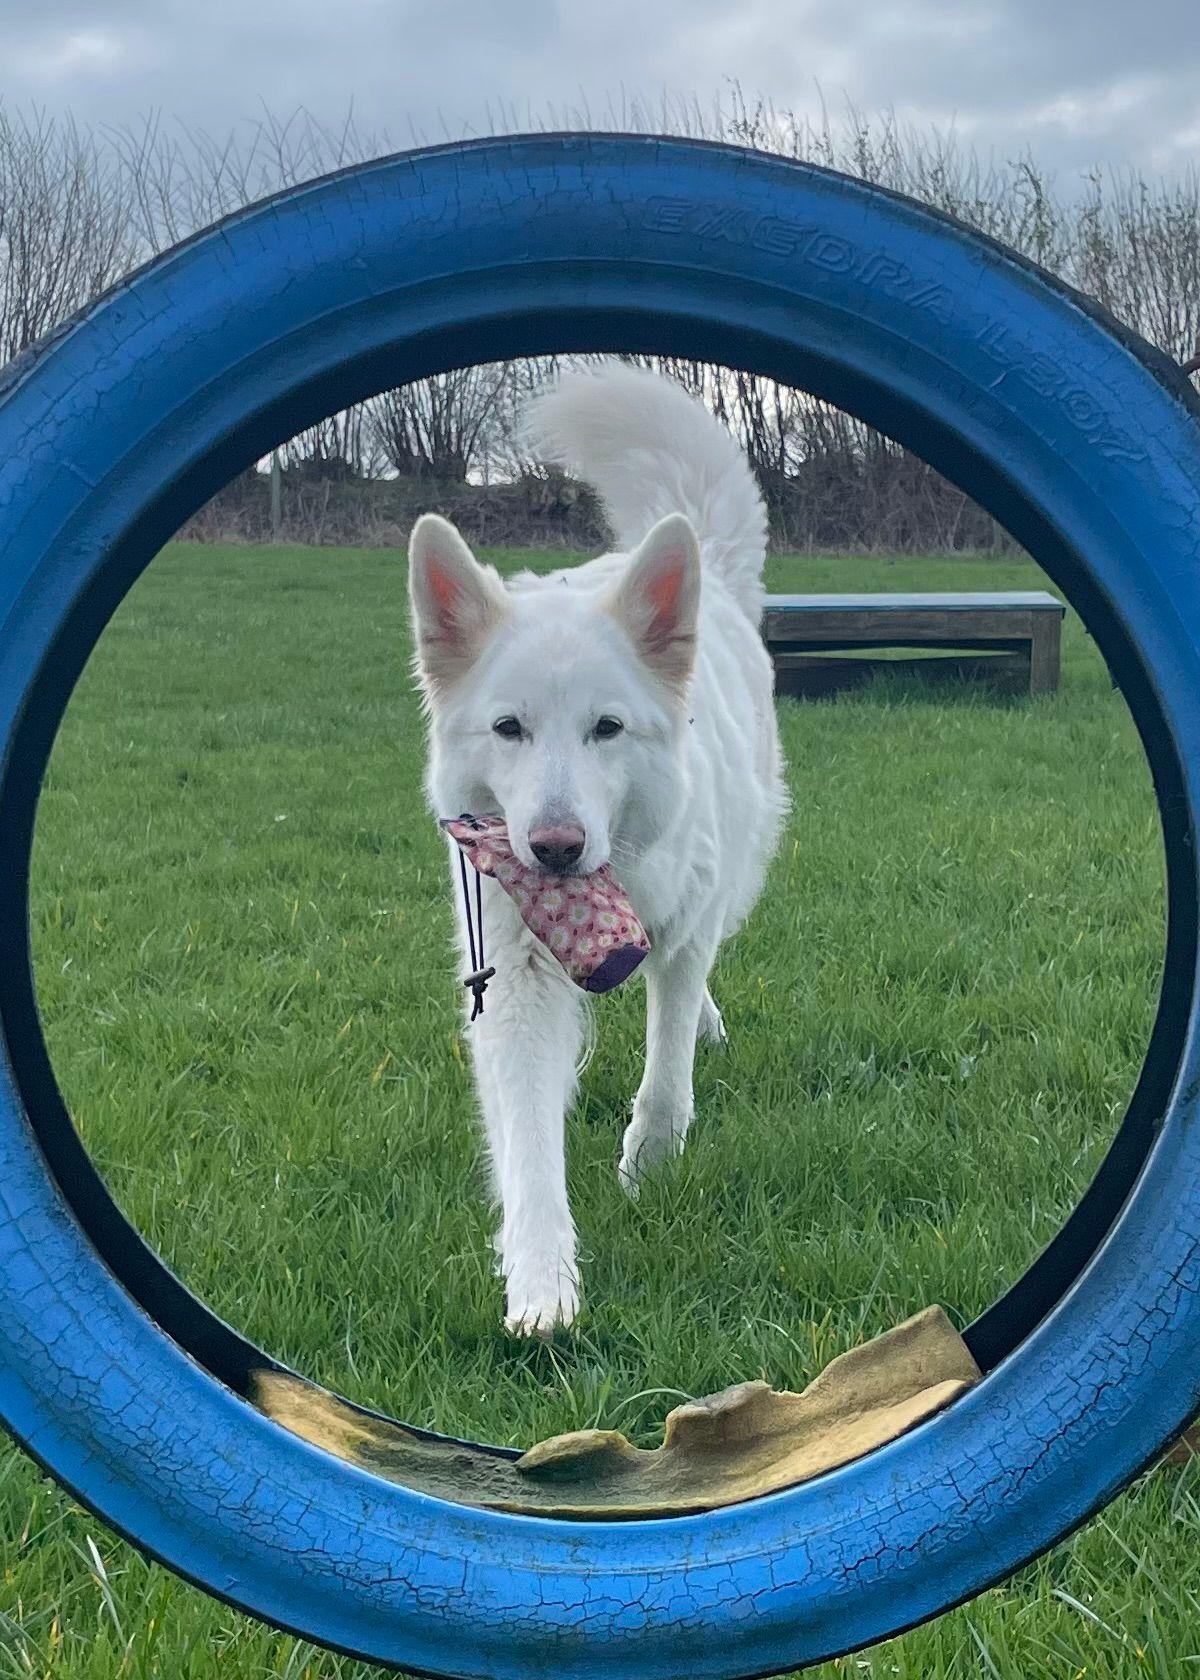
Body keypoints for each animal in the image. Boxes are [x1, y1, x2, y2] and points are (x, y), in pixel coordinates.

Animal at [406, 361, 789, 1330]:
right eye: (509, 729)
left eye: (606, 729)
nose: (553, 848)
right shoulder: (514, 978)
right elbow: (528, 1142)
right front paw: (541, 1286)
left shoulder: (682, 933)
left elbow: (666, 1066)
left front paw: (649, 1159)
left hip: (740, 866)